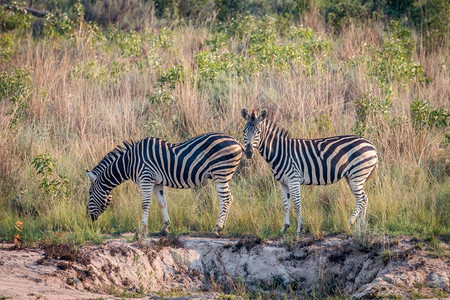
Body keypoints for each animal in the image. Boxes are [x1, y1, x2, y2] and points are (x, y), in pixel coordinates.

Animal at [86, 132, 244, 238]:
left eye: (89, 193)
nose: (89, 218)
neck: (129, 161)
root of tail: (236, 141)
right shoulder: (156, 182)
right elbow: (162, 203)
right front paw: (164, 228)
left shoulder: (146, 178)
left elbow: (145, 204)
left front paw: (140, 231)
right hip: (223, 176)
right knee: (229, 199)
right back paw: (221, 227)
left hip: (221, 174)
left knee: (226, 200)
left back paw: (216, 229)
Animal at [241, 109, 378, 236]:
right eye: (244, 131)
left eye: (258, 133)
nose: (248, 153)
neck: (280, 151)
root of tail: (371, 144)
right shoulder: (283, 183)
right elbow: (285, 205)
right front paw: (284, 228)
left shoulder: (293, 179)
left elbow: (297, 204)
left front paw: (298, 229)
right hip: (352, 177)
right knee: (365, 198)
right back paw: (361, 225)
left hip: (357, 175)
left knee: (361, 199)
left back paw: (350, 221)